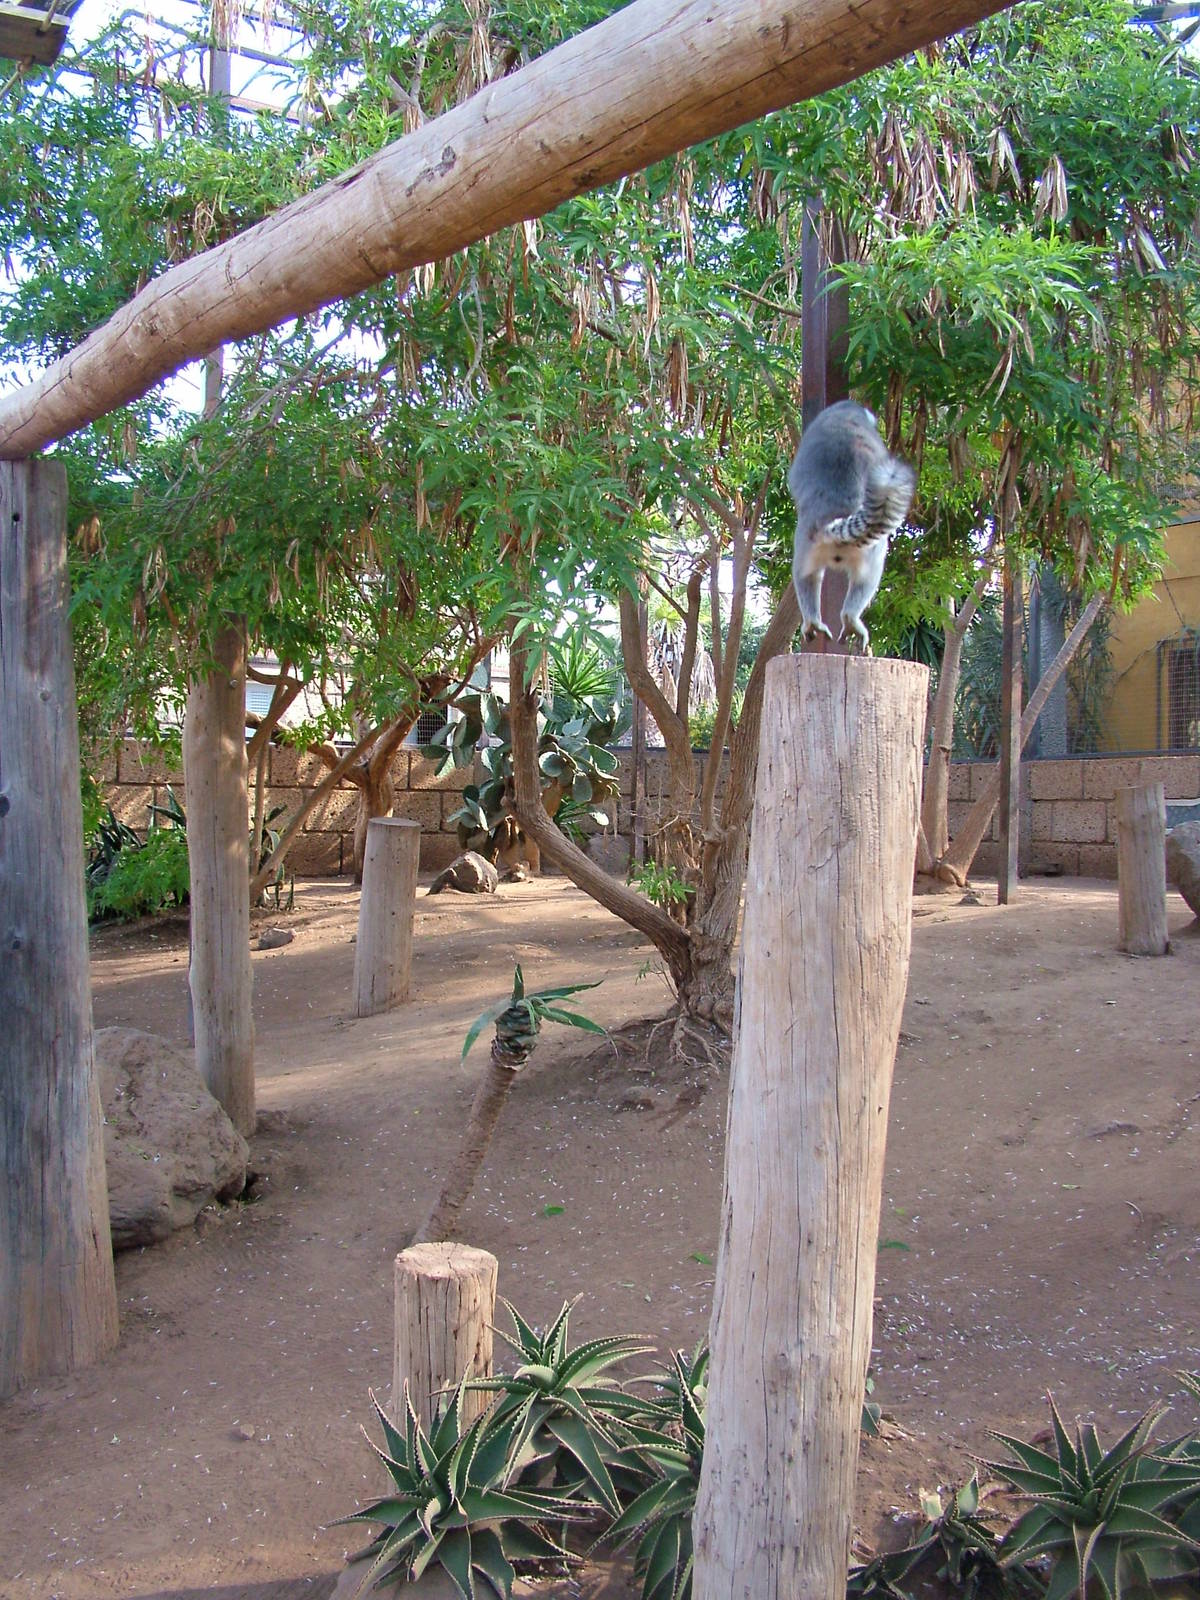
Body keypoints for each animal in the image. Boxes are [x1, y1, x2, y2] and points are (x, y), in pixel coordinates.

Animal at [788, 399, 915, 655]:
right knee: (860, 579)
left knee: (806, 576)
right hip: (868, 550)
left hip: (809, 540)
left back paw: (821, 622)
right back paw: (846, 619)